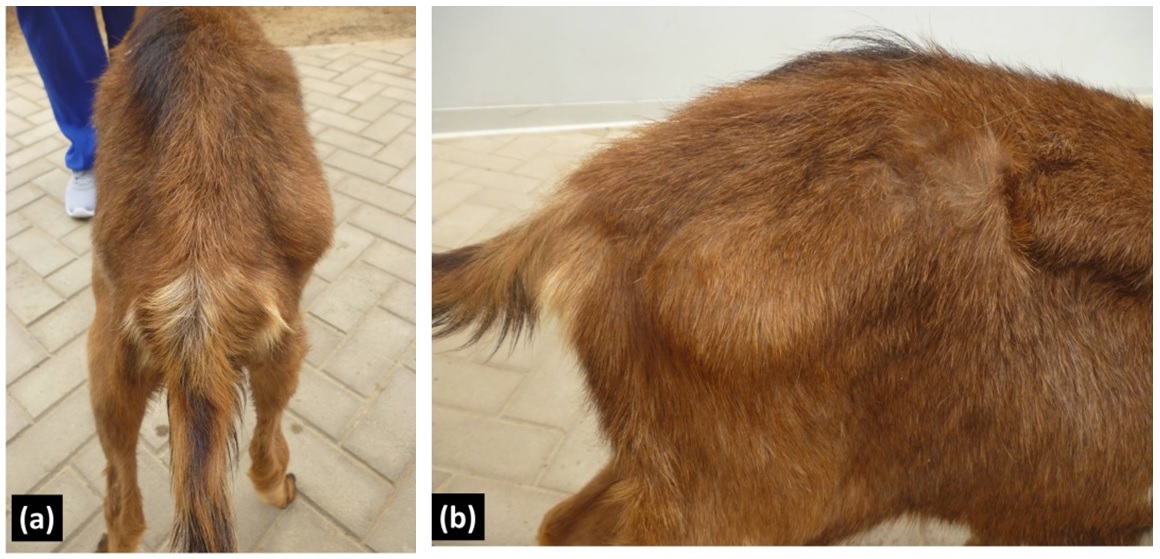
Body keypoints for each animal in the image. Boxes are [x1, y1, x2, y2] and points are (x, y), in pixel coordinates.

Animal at [89, 7, 334, 552]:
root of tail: (194, 301)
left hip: (108, 377)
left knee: (122, 507)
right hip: (285, 351)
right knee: (263, 453)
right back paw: (282, 488)